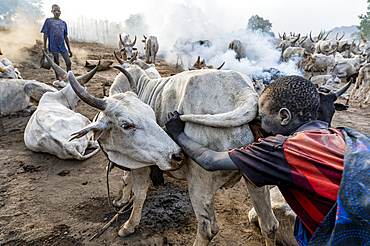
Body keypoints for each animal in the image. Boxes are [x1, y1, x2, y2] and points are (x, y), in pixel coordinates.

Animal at [68, 64, 278, 245]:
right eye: (127, 125)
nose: (177, 155)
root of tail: (245, 94)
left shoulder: (141, 165)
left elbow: (139, 194)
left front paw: (129, 225)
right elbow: (126, 179)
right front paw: (121, 200)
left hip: (199, 185)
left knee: (208, 229)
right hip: (256, 177)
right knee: (269, 225)